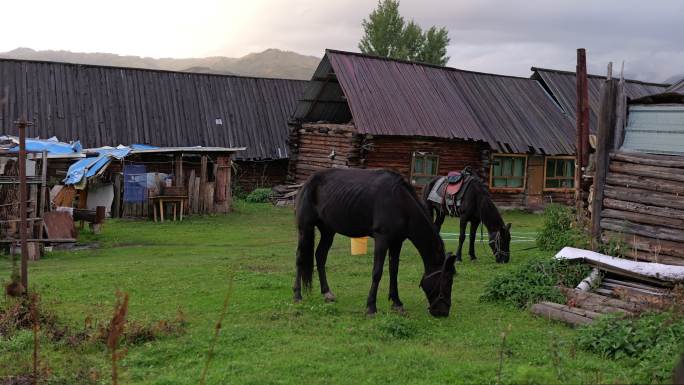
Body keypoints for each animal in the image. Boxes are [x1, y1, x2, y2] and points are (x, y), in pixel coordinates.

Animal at [292, 167, 454, 316]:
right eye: (446, 280)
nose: (443, 312)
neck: (400, 202)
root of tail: (307, 183)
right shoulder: (382, 239)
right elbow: (377, 272)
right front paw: (371, 307)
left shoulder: (397, 242)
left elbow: (394, 270)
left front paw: (396, 302)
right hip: (305, 228)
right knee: (300, 258)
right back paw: (297, 295)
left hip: (328, 231)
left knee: (320, 256)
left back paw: (326, 293)